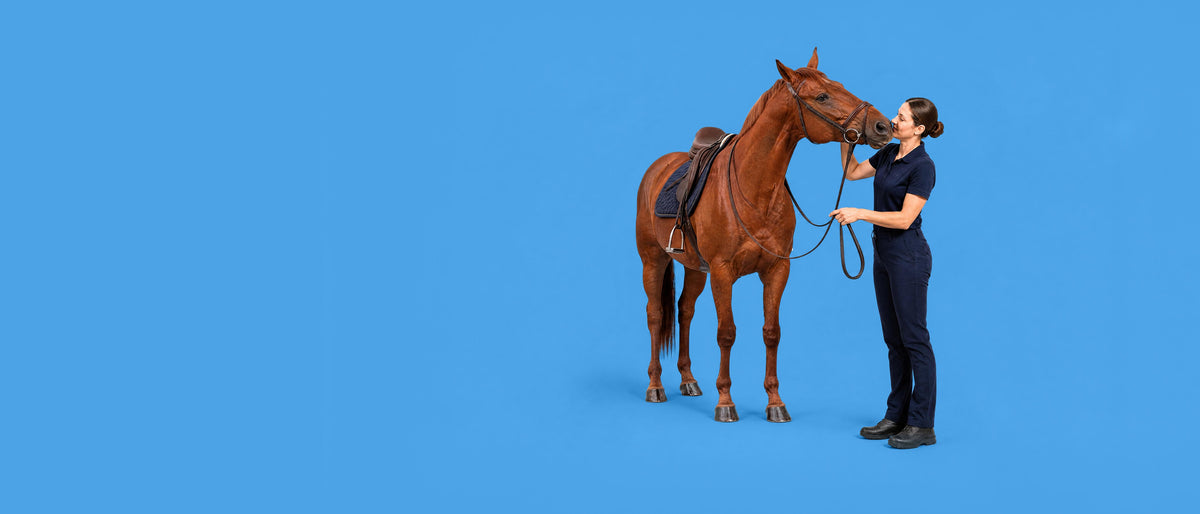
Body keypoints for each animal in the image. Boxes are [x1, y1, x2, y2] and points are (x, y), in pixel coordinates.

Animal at [634, 49, 893, 422]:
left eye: (841, 85)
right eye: (822, 96)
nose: (883, 126)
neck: (754, 188)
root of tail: (659, 166)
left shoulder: (776, 270)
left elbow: (772, 333)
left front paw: (775, 402)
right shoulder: (723, 273)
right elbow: (726, 333)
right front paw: (725, 401)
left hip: (696, 268)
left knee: (684, 310)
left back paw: (688, 380)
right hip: (653, 260)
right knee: (655, 315)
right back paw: (655, 386)